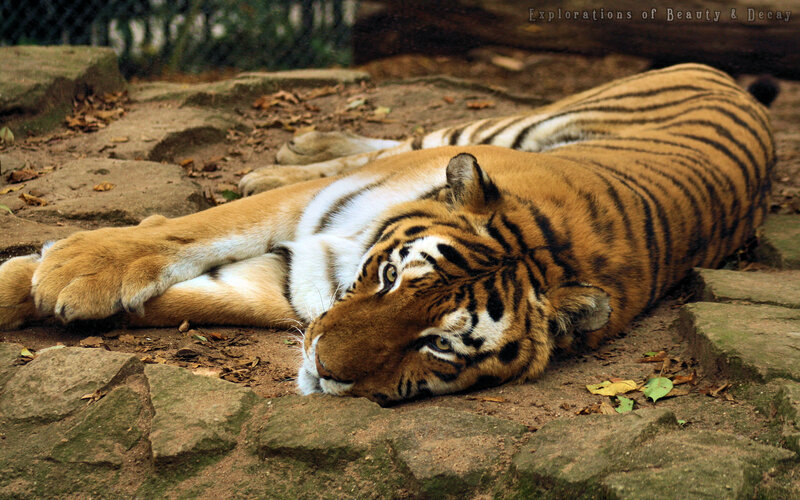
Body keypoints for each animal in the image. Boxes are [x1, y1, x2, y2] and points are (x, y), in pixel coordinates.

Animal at [0, 63, 776, 404]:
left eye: (438, 345)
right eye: (391, 276)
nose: (323, 369)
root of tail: (727, 77)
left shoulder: (294, 282)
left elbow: (198, 295)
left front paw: (49, 287)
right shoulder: (311, 217)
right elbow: (198, 228)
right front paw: (72, 267)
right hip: (487, 127)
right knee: (400, 137)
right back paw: (282, 154)